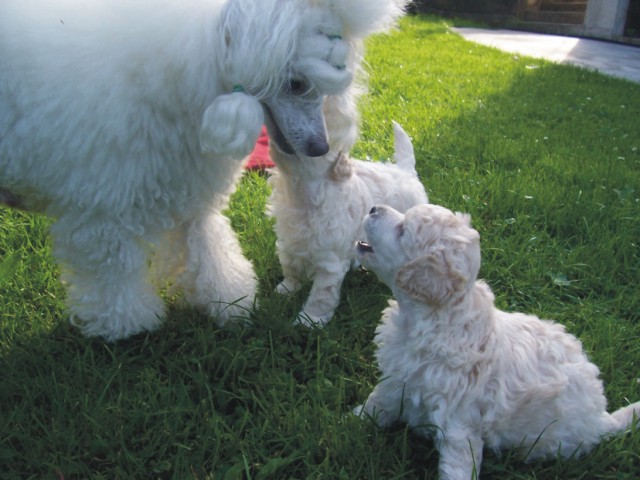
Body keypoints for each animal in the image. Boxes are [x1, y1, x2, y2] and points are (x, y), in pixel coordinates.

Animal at [268, 122, 428, 328]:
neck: (301, 195)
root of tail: (405, 171)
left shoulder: (330, 262)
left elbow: (321, 295)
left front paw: (309, 321)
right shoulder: (287, 241)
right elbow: (289, 267)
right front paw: (286, 289)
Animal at [356, 203, 640, 480]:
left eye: (403, 230)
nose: (373, 208)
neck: (431, 316)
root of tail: (600, 419)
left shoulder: (459, 421)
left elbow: (457, 463)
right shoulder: (397, 377)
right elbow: (379, 401)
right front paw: (356, 420)